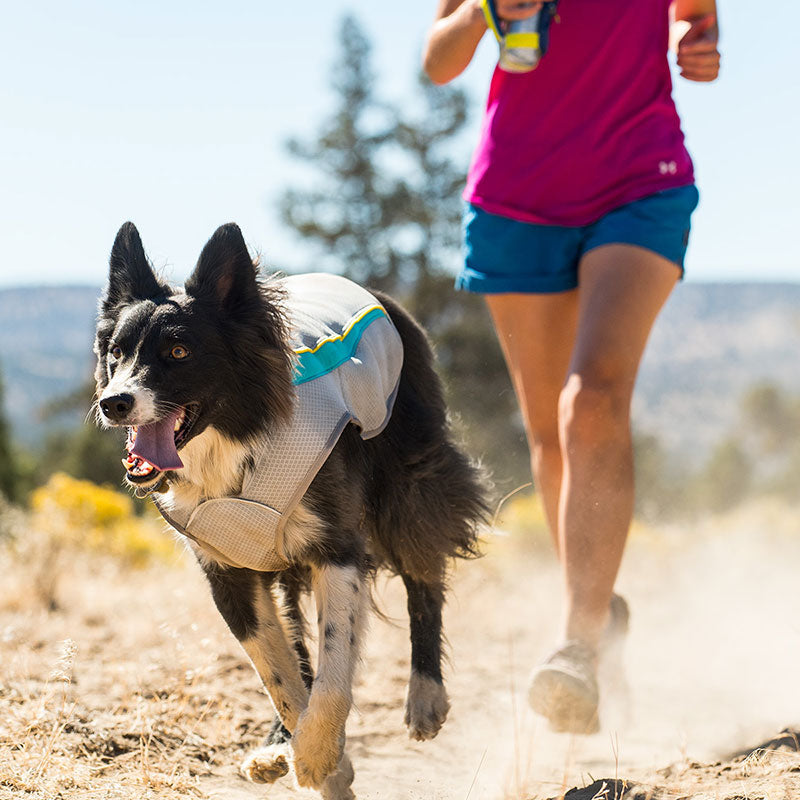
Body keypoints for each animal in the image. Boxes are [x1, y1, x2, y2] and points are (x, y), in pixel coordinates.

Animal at [97, 222, 490, 796]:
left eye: (178, 351)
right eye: (116, 352)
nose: (113, 402)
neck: (237, 447)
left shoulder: (338, 546)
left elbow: (334, 663)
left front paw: (318, 752)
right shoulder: (227, 570)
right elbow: (277, 670)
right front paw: (315, 755)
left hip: (409, 481)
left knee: (424, 576)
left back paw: (425, 695)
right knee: (295, 636)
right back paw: (280, 742)